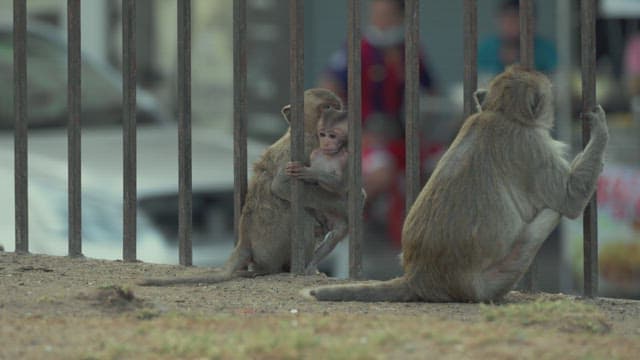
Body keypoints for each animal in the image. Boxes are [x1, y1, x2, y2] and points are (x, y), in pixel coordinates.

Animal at [138, 88, 342, 286]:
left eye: (336, 108)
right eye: (327, 107)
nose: (336, 120)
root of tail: (245, 241)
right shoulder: (306, 148)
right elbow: (281, 187)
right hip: (273, 247)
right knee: (303, 220)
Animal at [308, 66, 608, 302]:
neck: (501, 112)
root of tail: (417, 277)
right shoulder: (532, 146)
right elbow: (570, 199)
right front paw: (601, 131)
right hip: (487, 282)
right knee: (550, 215)